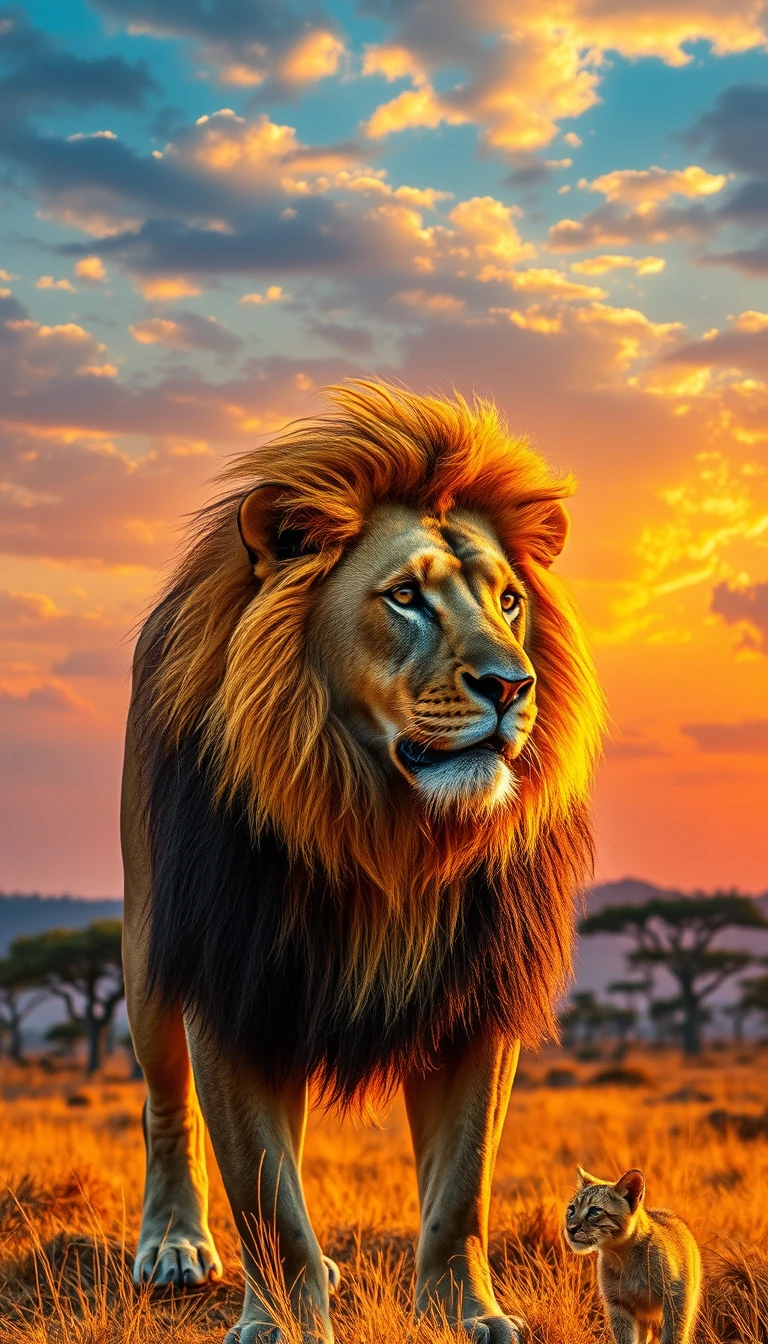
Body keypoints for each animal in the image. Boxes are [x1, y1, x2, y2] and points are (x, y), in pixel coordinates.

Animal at [121, 380, 604, 1344]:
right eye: (406, 597)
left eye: (509, 603)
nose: (513, 685)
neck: (388, 833)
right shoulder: (230, 985)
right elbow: (265, 1196)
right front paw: (281, 1325)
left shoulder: (476, 996)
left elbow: (461, 1191)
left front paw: (467, 1313)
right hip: (150, 946)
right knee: (167, 1108)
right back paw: (177, 1245)